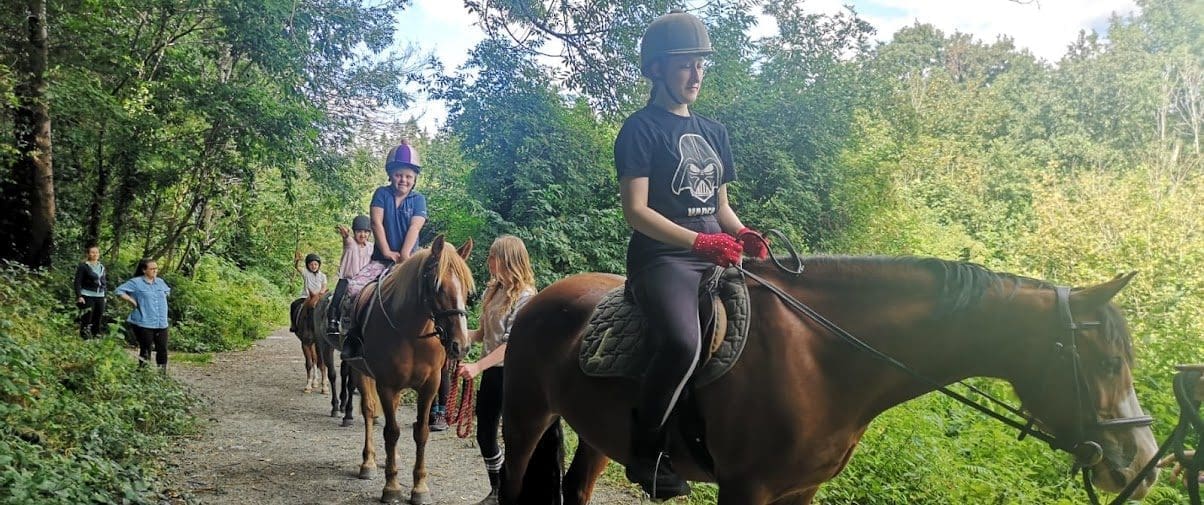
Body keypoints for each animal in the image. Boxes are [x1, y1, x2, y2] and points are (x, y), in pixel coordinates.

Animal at [350, 235, 474, 505]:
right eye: (437, 286)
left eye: (467, 290)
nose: (460, 345)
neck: (411, 335)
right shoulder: (386, 385)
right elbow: (392, 432)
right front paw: (391, 486)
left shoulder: (429, 387)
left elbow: (422, 432)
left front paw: (419, 487)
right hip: (360, 372)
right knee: (368, 412)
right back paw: (368, 463)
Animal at [499, 256, 1161, 504]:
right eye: (1108, 363)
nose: (1142, 463)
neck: (823, 360)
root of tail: (540, 299)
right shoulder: (746, 489)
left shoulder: (800, 490)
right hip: (527, 412)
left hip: (597, 436)